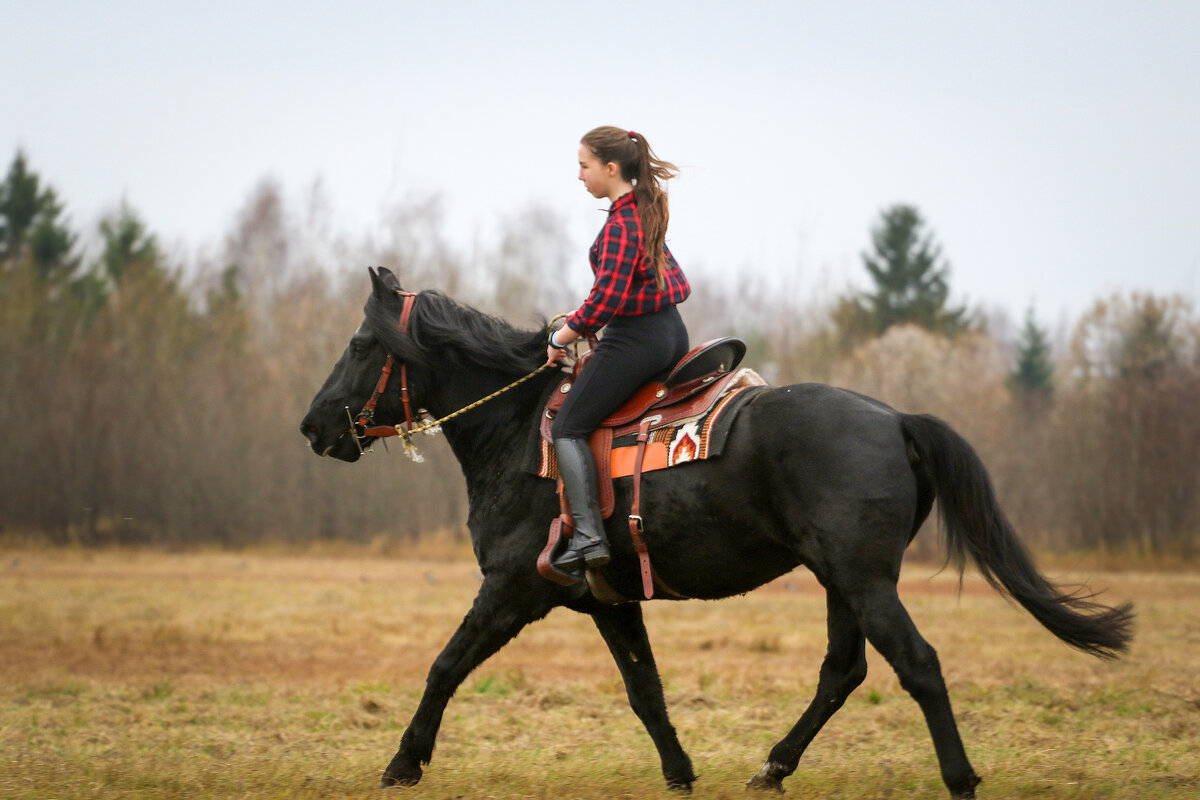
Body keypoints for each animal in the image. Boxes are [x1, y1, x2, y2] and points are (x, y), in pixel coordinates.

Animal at [300, 267, 1132, 796]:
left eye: (362, 346)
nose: (312, 427)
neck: (518, 426)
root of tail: (895, 417)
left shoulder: (512, 588)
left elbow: (444, 665)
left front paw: (403, 763)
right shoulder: (606, 601)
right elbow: (645, 690)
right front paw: (680, 772)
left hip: (864, 581)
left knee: (918, 665)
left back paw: (958, 779)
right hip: (841, 581)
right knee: (842, 673)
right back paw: (773, 768)